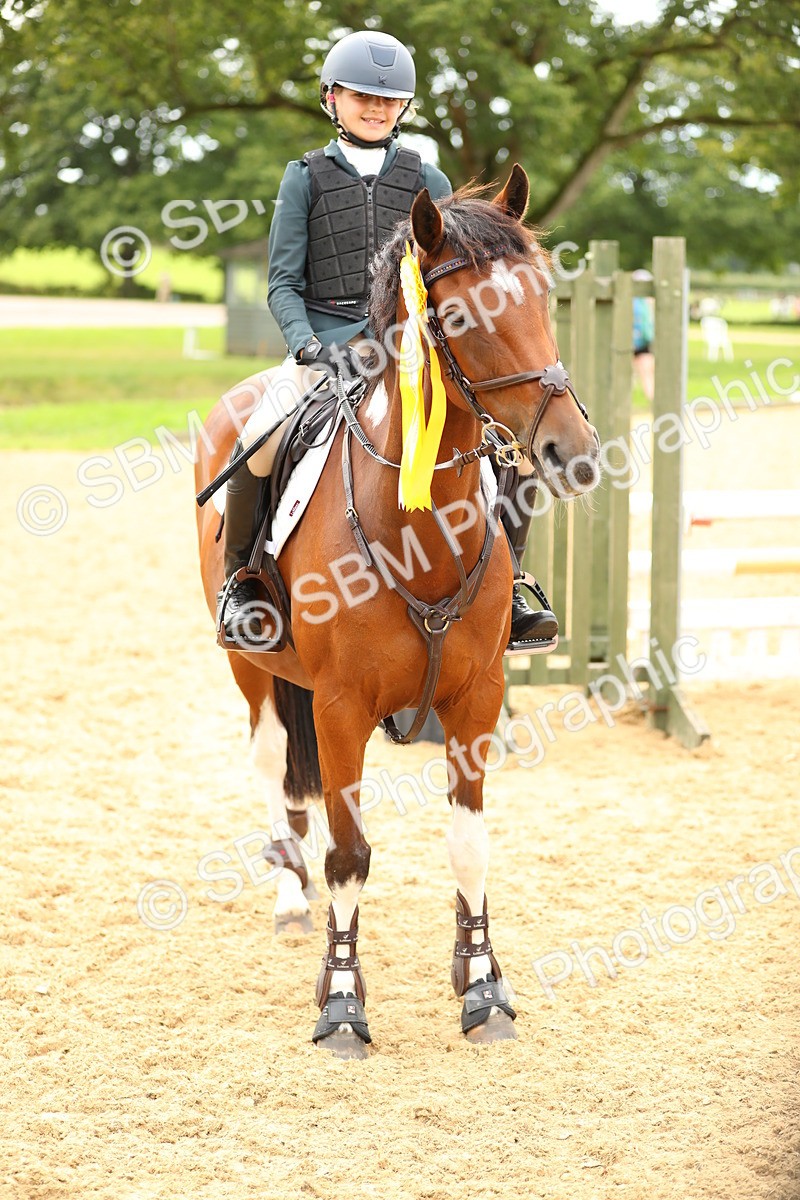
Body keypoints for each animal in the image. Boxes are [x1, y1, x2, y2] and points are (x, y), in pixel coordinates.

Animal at [195, 166, 601, 1058]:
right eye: (462, 316)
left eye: (544, 295)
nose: (575, 454)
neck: (416, 527)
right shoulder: (343, 706)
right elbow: (349, 853)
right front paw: (343, 1002)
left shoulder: (475, 697)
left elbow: (469, 843)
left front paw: (482, 985)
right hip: (251, 665)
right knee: (272, 763)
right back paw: (288, 893)